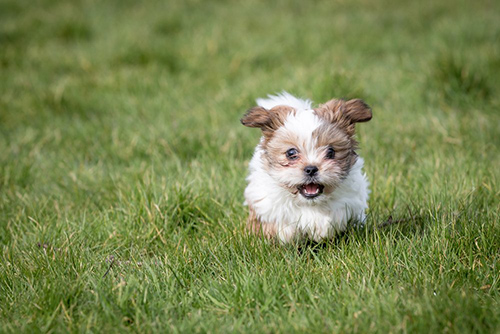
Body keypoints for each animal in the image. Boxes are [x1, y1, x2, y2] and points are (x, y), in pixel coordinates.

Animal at [240, 91, 374, 243]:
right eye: (291, 153)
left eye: (331, 152)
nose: (311, 169)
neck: (310, 203)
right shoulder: (264, 201)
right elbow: (282, 224)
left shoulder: (351, 199)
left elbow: (337, 213)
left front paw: (322, 227)